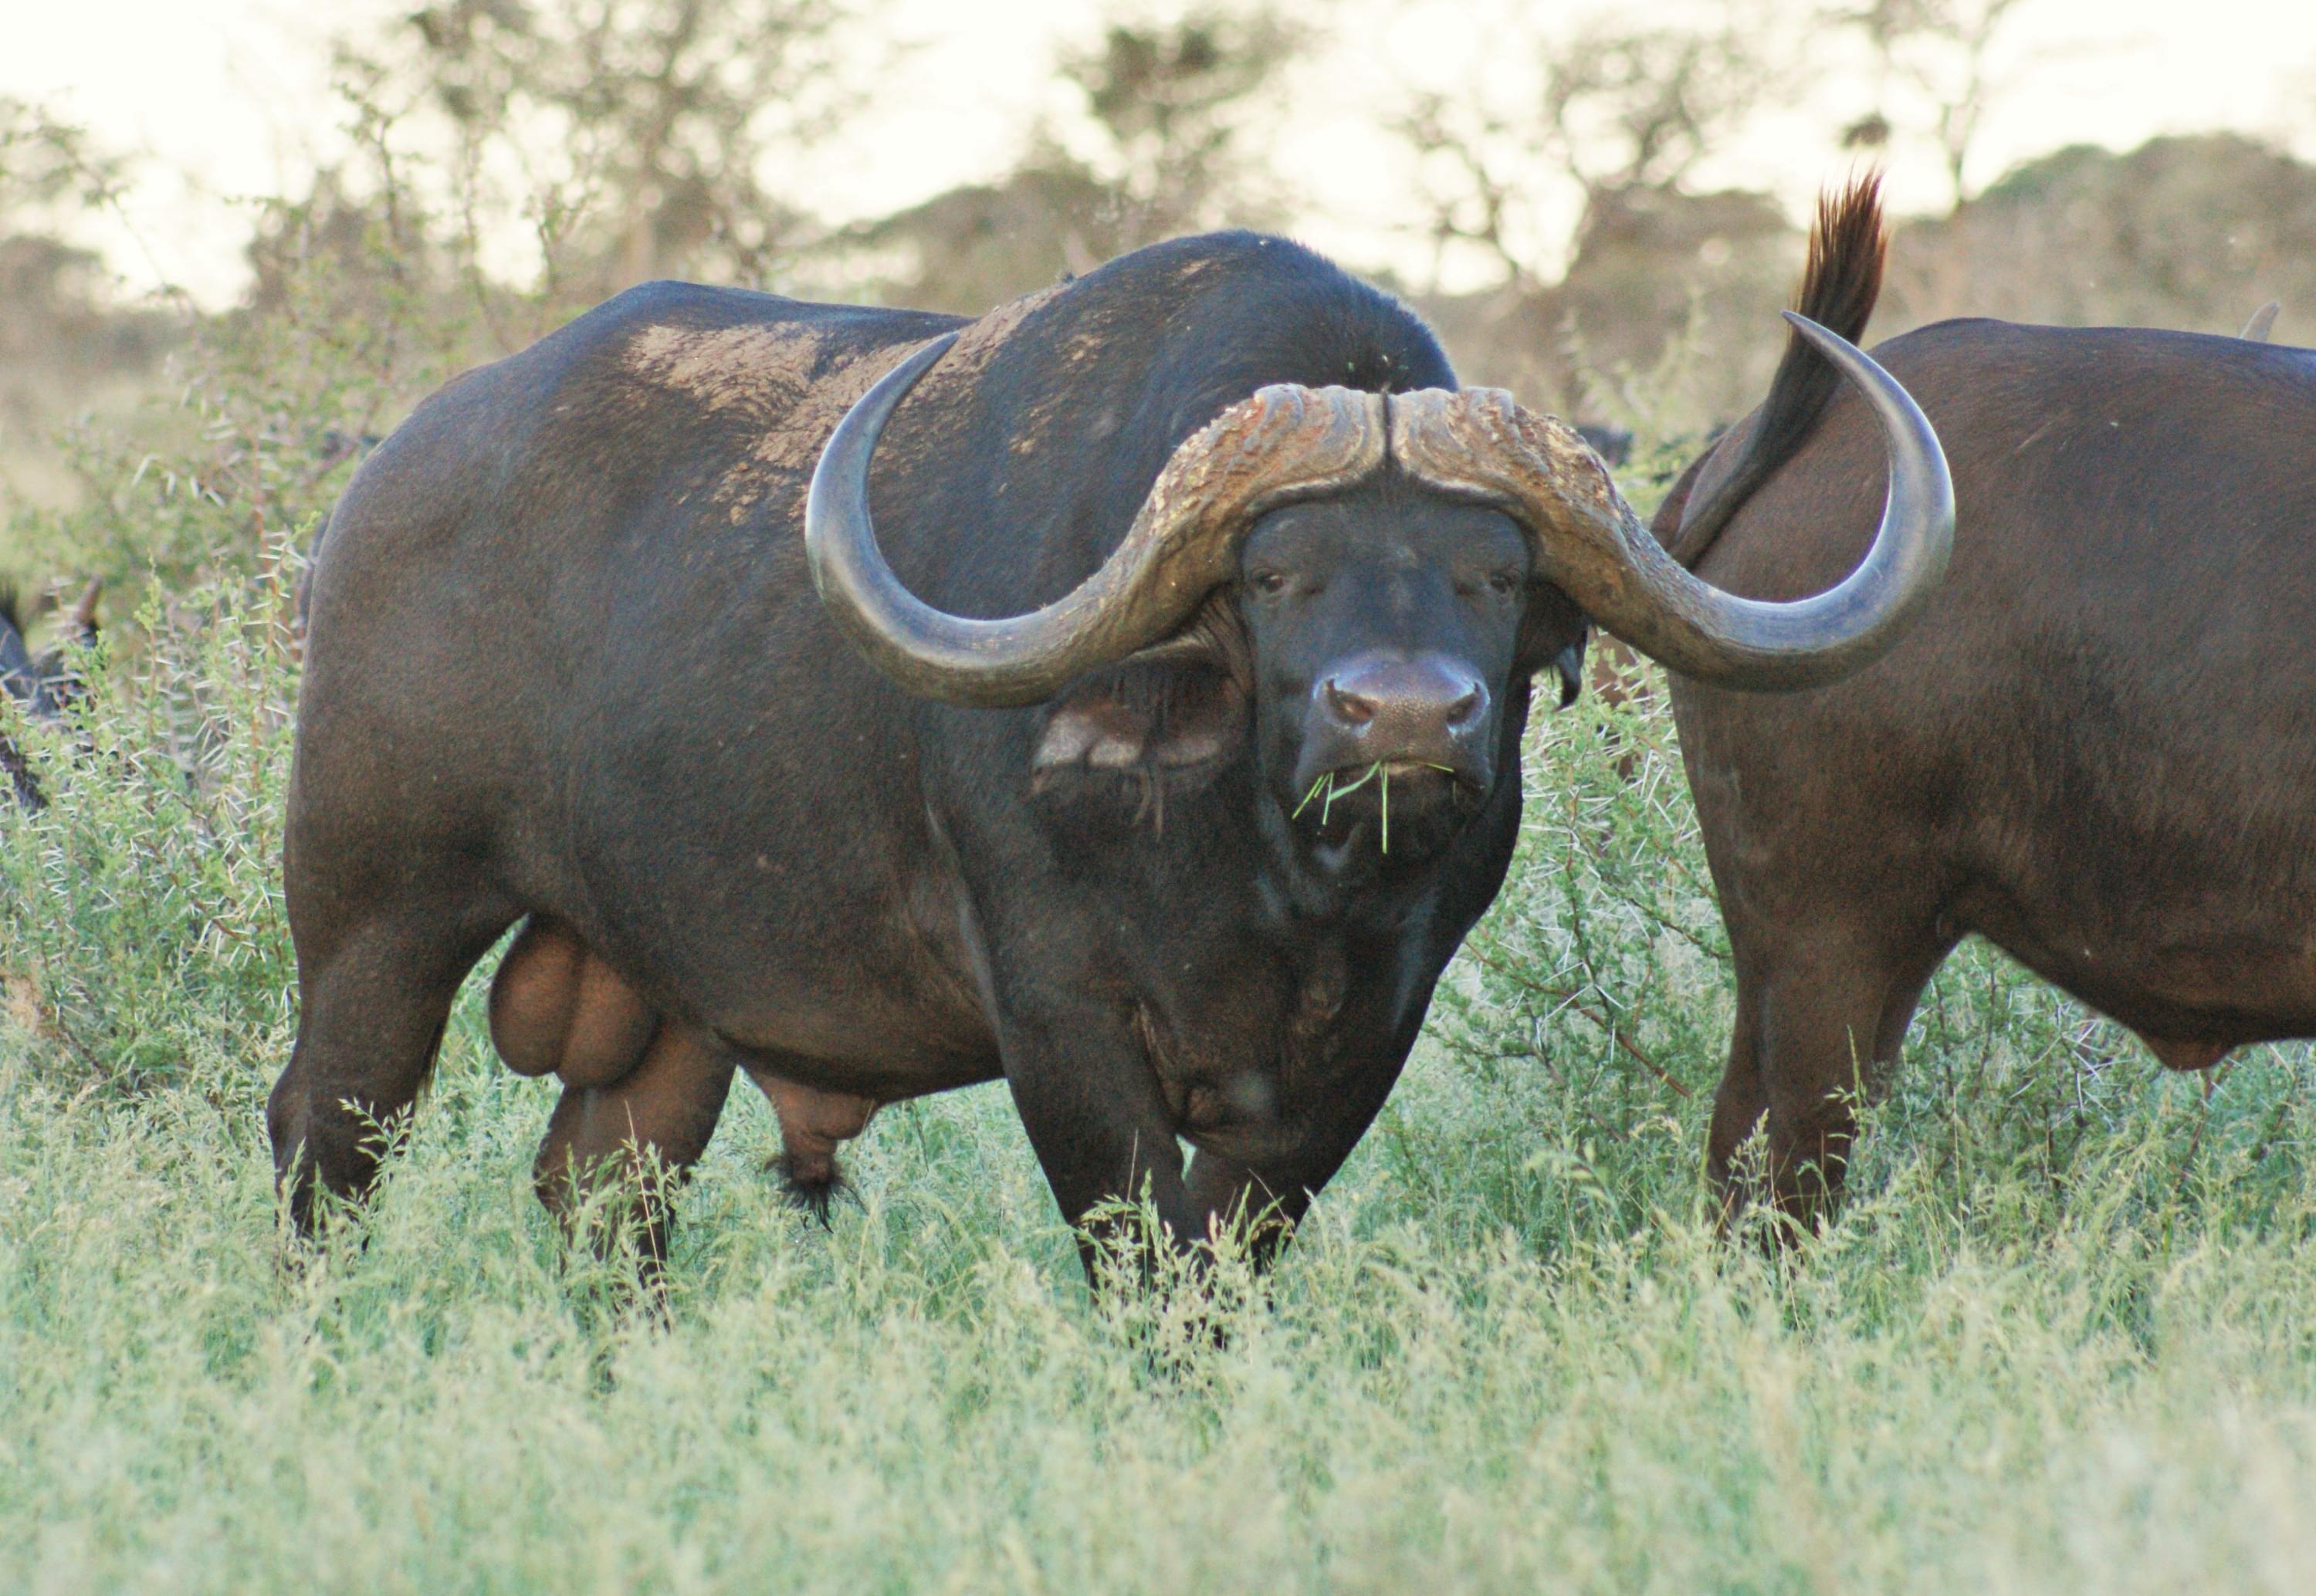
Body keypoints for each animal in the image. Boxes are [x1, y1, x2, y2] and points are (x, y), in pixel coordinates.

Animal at [266, 230, 1955, 1278]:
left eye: (1489, 570)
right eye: (1276, 573)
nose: (1406, 718)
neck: (1271, 881)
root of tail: (386, 489)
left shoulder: (1358, 1042)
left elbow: (1229, 1252)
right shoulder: (1061, 1016)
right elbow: (1144, 1251)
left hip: (672, 995)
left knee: (606, 1187)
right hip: (377, 921)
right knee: (323, 1140)